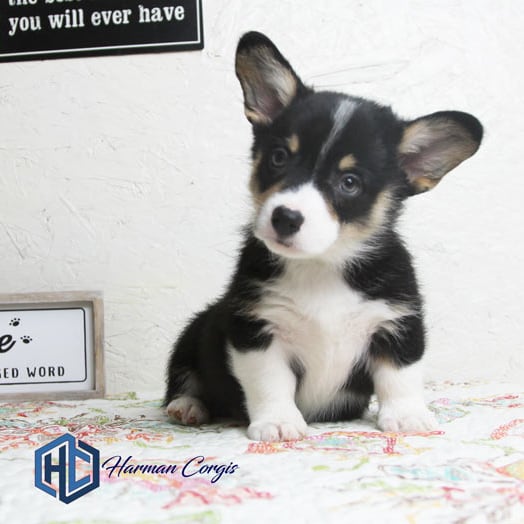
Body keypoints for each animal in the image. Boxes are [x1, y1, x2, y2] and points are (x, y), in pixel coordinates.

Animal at [164, 31, 484, 442]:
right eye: (279, 157)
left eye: (349, 182)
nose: (285, 217)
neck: (322, 263)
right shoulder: (256, 328)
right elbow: (270, 382)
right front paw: (279, 422)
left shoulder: (398, 324)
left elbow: (400, 376)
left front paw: (408, 416)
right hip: (194, 331)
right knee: (184, 378)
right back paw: (188, 406)